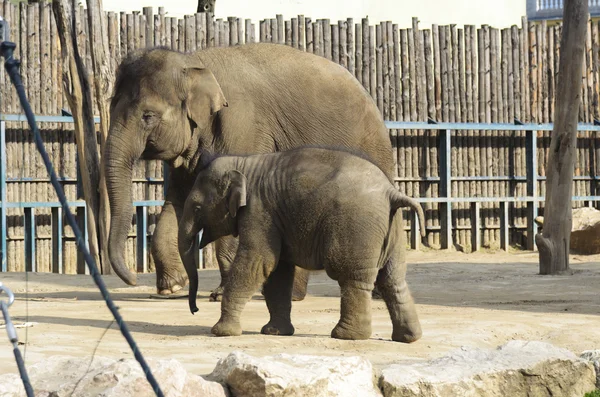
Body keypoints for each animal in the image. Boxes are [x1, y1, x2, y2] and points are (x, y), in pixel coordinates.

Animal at [105, 41, 396, 298]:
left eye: (148, 116)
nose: (132, 280)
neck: (195, 63)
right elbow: (177, 201)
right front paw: (171, 288)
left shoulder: (242, 128)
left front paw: (220, 294)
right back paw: (293, 295)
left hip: (372, 151)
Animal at [178, 147, 426, 342]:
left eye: (197, 208)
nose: (195, 309)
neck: (243, 163)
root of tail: (392, 192)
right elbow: (278, 271)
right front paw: (274, 332)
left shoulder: (259, 211)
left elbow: (258, 262)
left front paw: (222, 332)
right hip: (392, 231)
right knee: (392, 280)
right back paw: (408, 338)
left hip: (356, 226)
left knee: (353, 277)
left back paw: (347, 336)